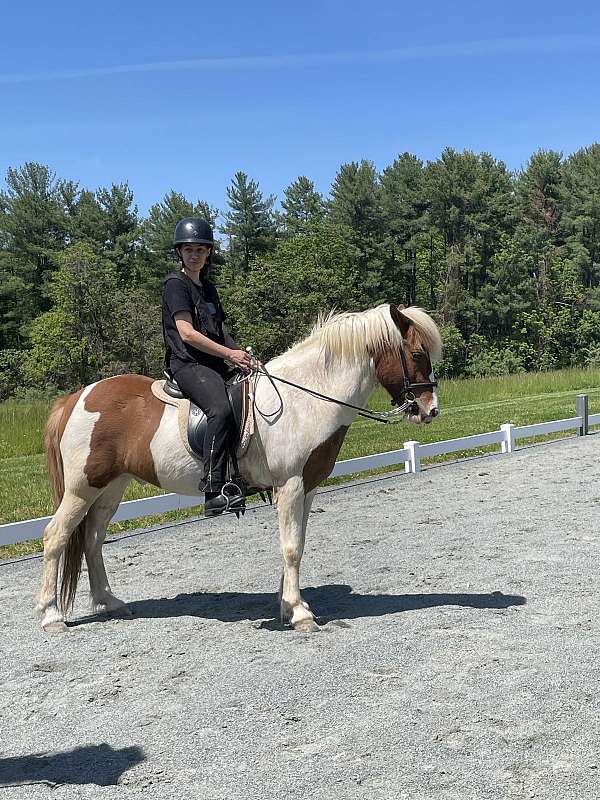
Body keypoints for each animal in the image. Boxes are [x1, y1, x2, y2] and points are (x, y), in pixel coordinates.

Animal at [36, 304, 440, 636]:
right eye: (417, 353)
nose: (430, 410)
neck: (305, 398)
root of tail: (76, 397)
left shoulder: (307, 488)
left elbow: (297, 543)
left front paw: (287, 607)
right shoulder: (290, 484)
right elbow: (291, 547)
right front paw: (300, 614)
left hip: (110, 488)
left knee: (92, 540)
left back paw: (110, 603)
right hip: (82, 488)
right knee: (56, 536)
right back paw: (51, 615)